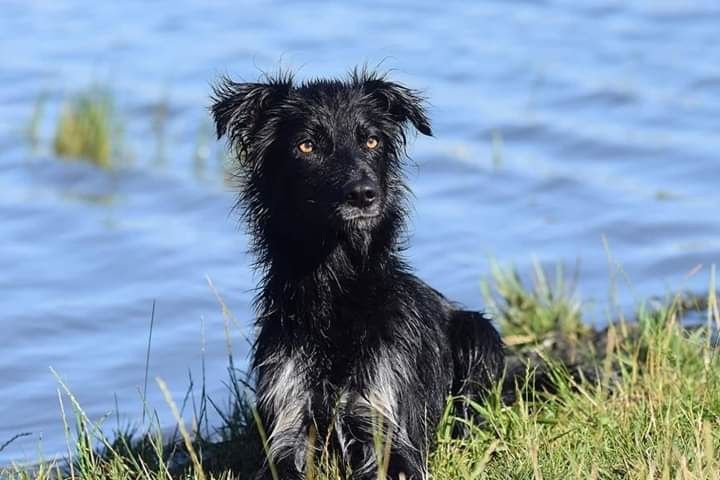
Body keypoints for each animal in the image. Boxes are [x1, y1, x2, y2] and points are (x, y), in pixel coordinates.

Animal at [210, 68, 500, 480]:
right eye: (306, 146)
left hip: (479, 335)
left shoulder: (382, 417)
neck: (335, 286)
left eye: (372, 140)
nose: (364, 194)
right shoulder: (286, 421)